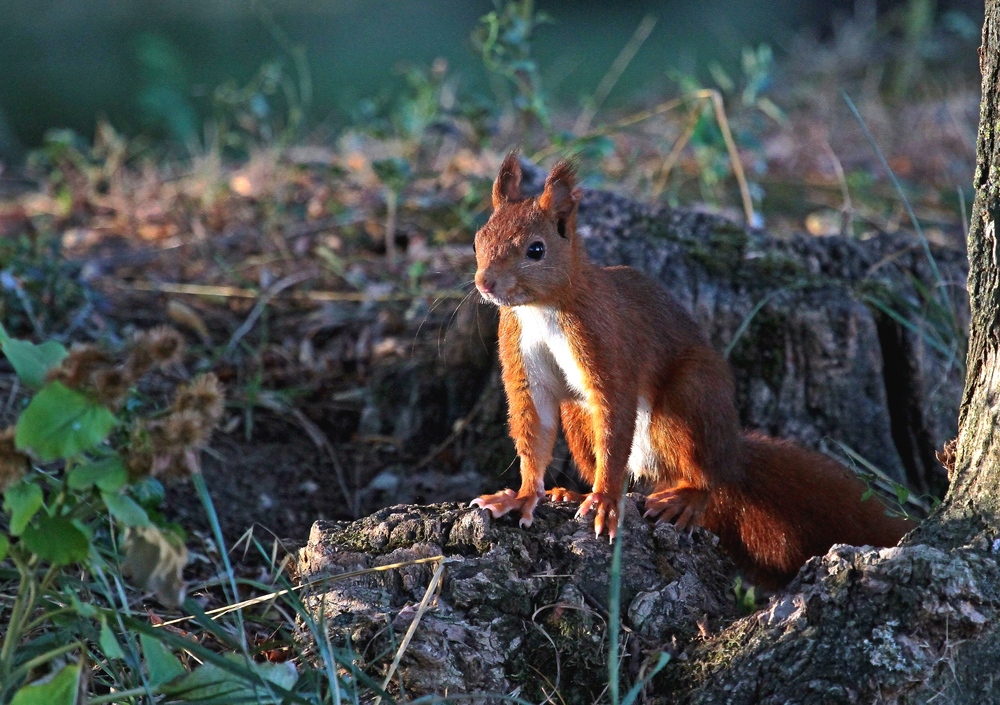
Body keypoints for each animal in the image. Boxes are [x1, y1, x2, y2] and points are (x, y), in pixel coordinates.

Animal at [468, 153, 916, 588]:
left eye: (536, 250)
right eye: (479, 240)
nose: (485, 284)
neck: (541, 309)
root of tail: (732, 452)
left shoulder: (607, 346)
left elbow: (615, 418)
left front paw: (607, 502)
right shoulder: (522, 359)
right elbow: (535, 426)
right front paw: (522, 496)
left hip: (690, 399)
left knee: (706, 477)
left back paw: (682, 498)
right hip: (578, 416)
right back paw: (576, 495)